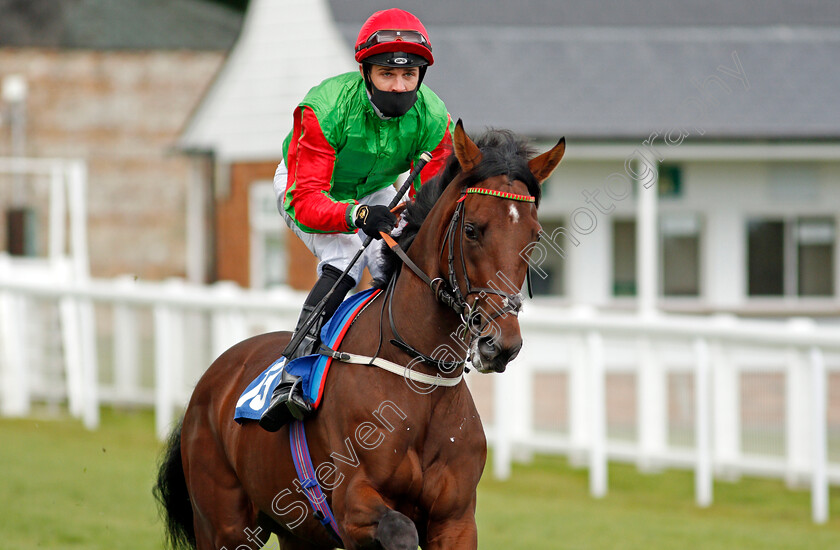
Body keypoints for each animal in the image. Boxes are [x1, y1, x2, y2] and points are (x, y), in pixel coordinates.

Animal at [157, 122, 564, 550]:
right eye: (471, 230)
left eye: (535, 236)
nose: (501, 344)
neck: (418, 381)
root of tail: (211, 378)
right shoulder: (352, 506)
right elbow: (399, 528)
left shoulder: (455, 520)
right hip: (224, 526)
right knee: (337, 266)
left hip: (298, 533)